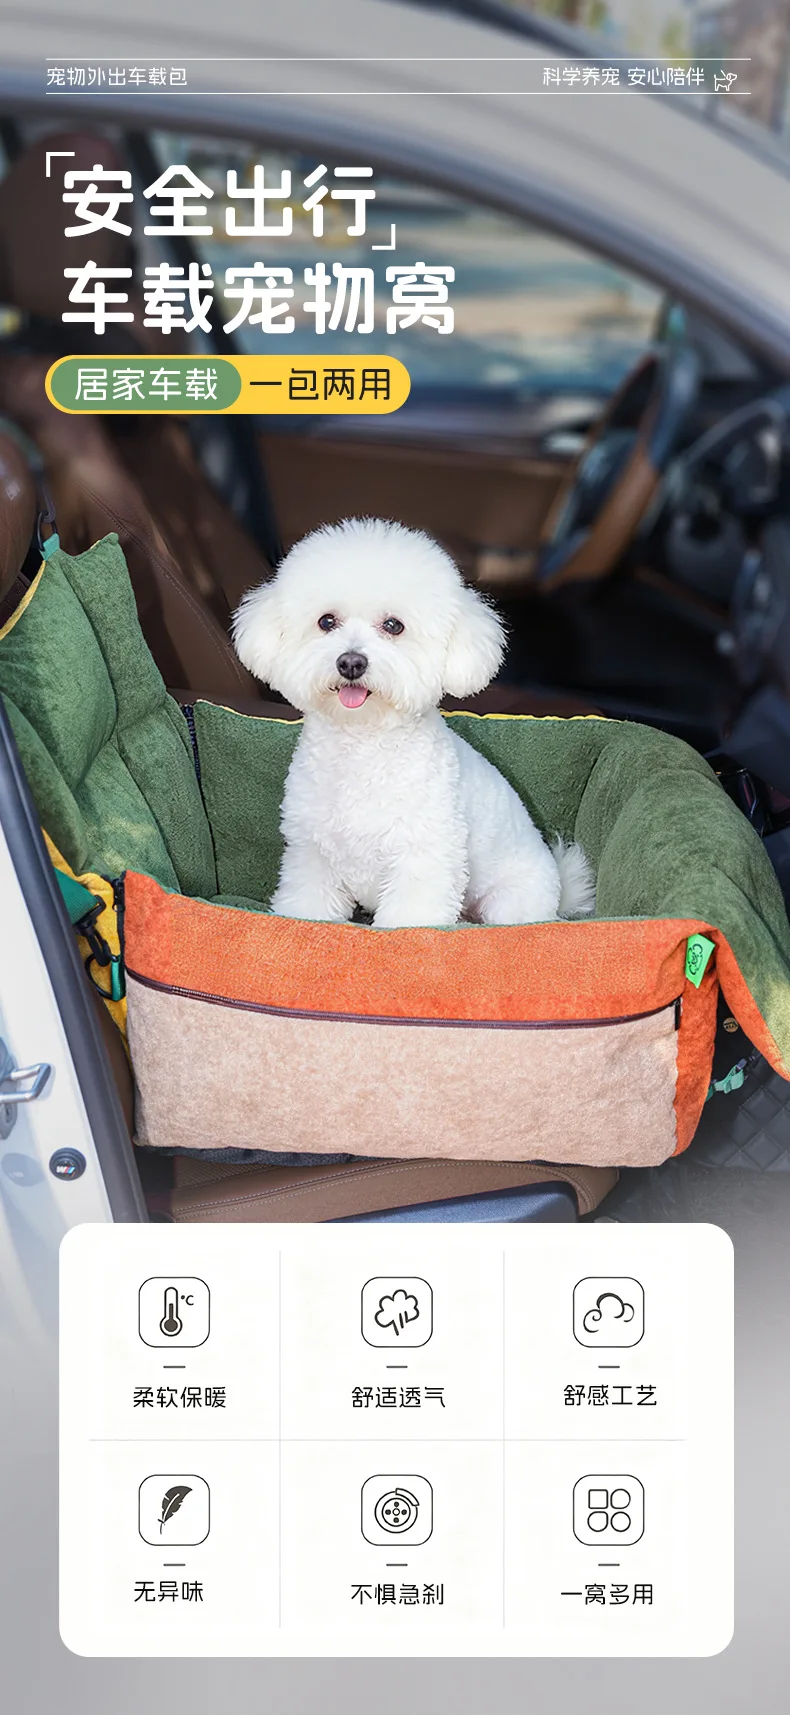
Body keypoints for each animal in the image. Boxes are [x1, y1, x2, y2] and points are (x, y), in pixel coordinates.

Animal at [232, 517, 595, 928]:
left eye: (394, 625)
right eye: (326, 621)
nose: (351, 662)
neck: (363, 745)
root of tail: (560, 891)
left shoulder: (423, 858)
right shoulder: (312, 856)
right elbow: (309, 905)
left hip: (510, 902)